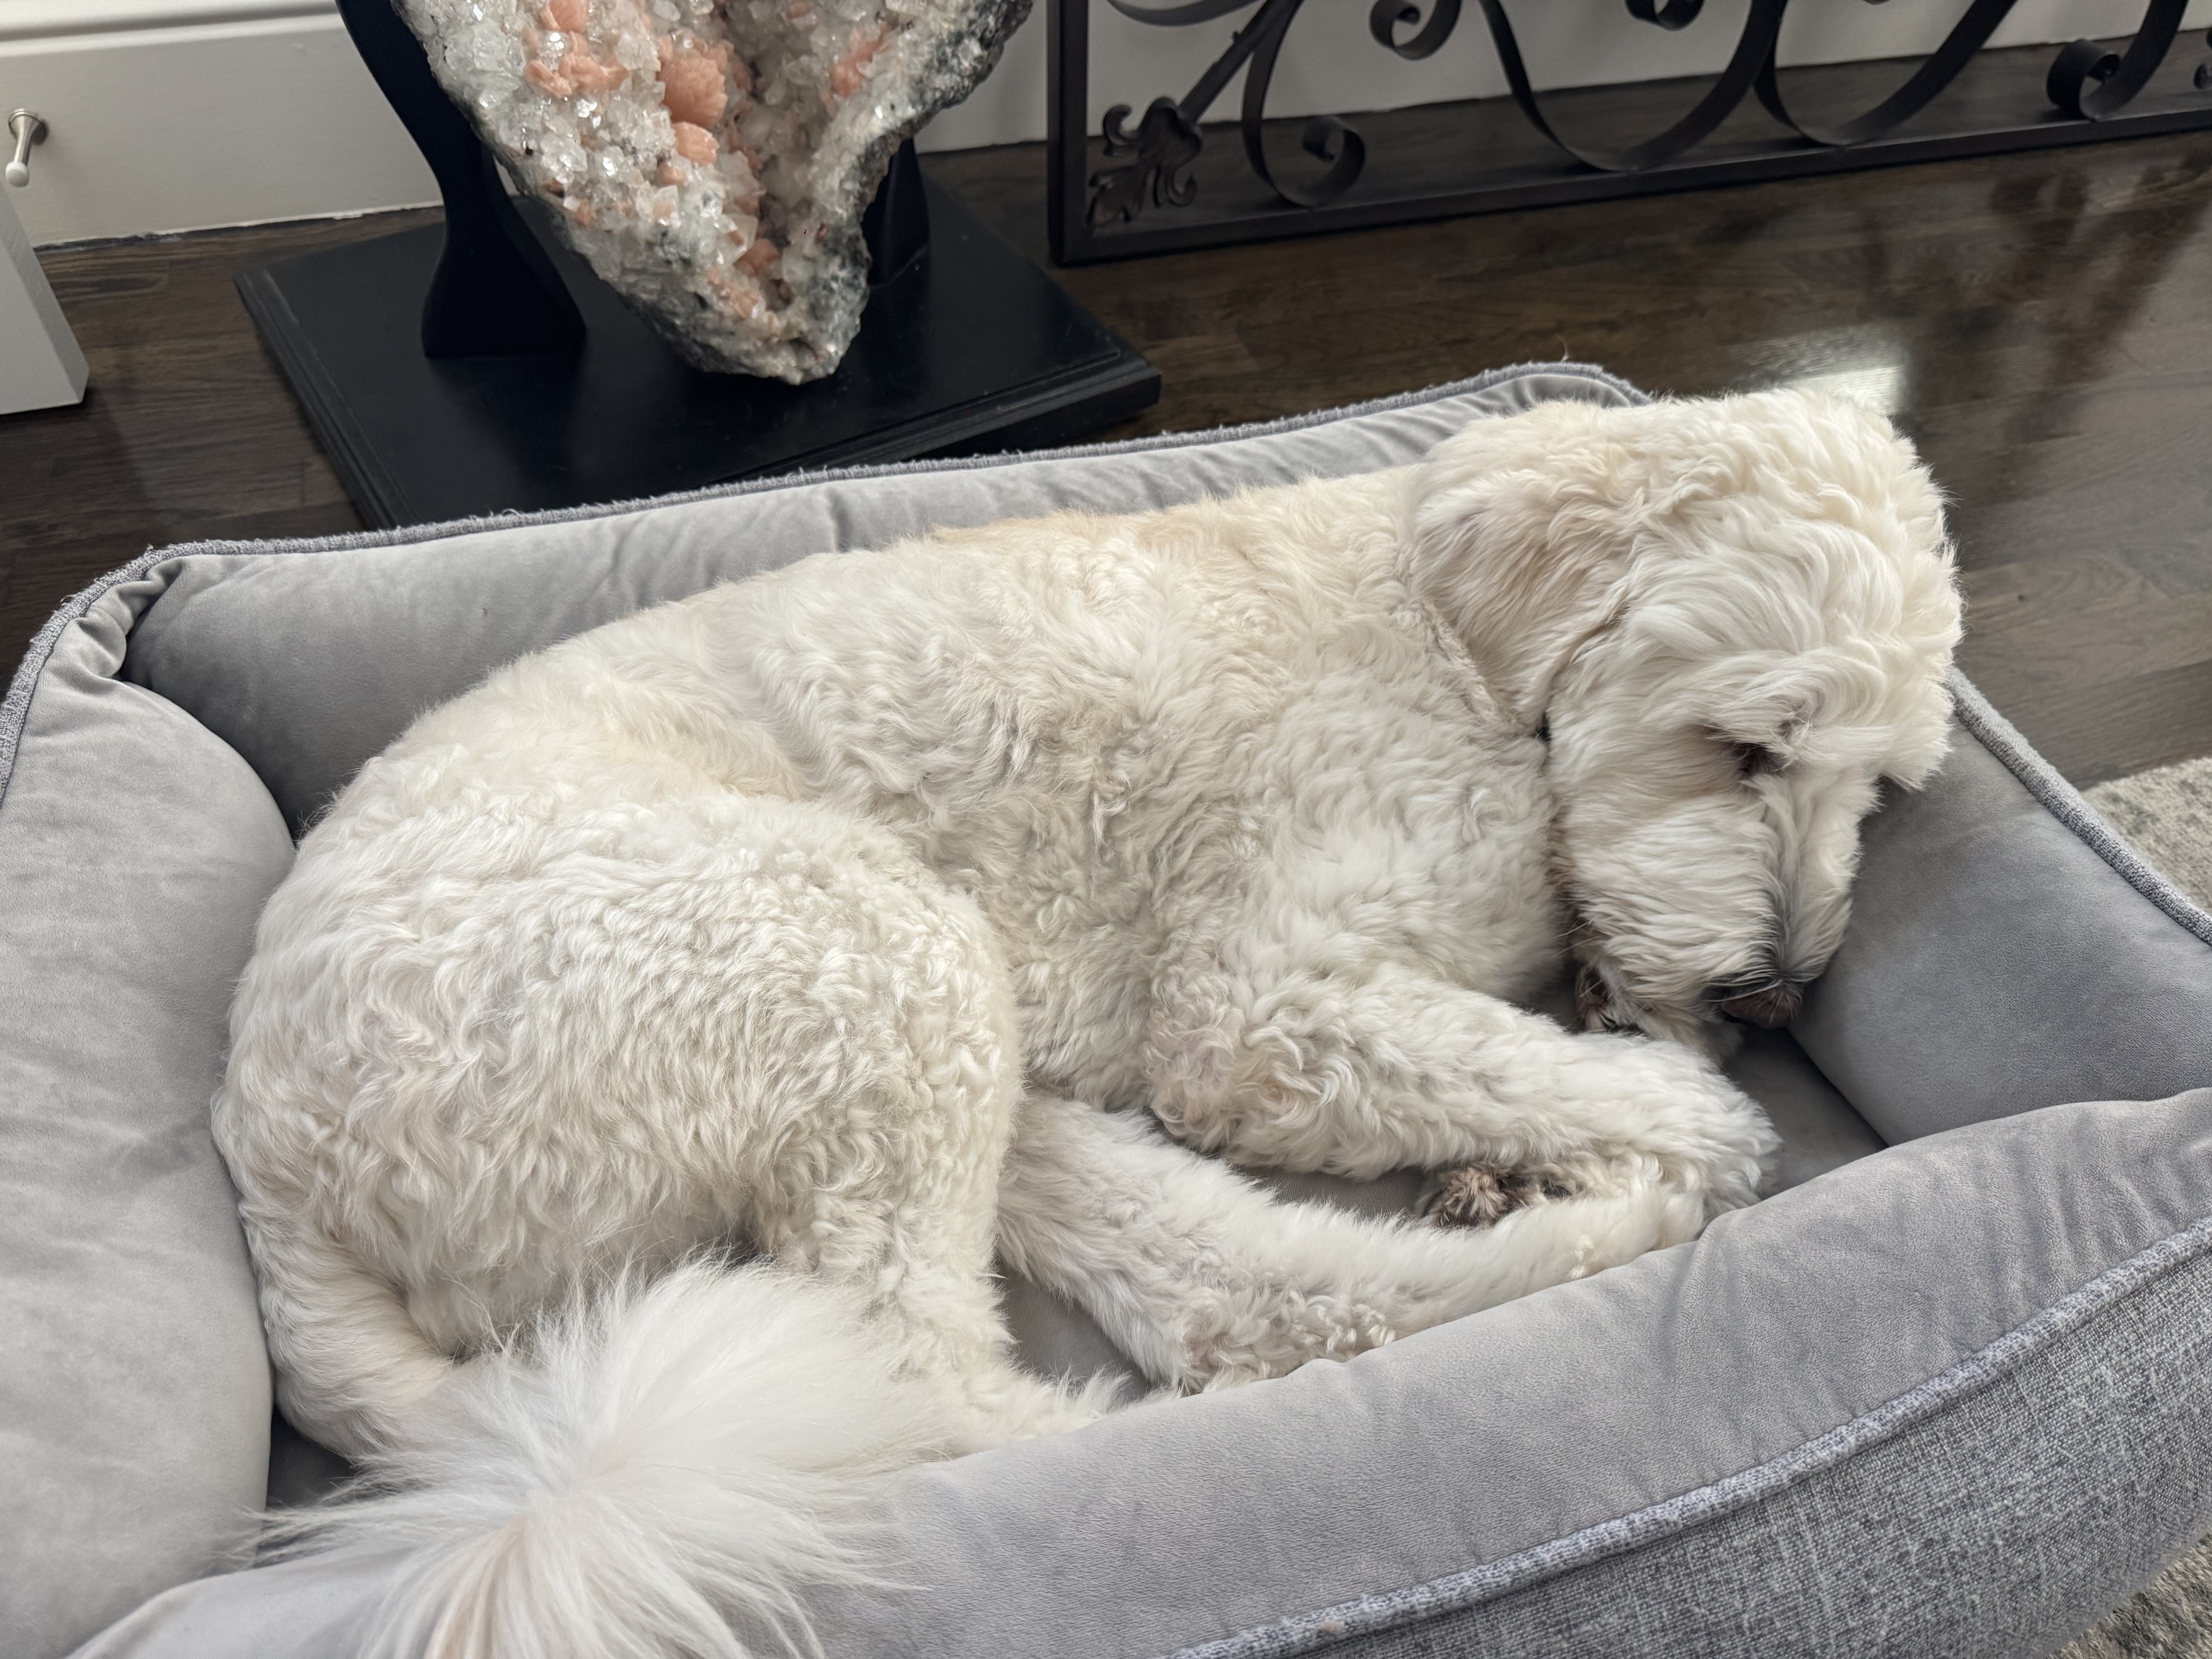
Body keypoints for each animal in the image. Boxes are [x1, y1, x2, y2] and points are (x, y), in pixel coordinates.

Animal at [213, 389, 1962, 1657]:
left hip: (959, 1056)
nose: (1778, 991)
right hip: (859, 958)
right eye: (1744, 745)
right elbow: (1663, 1104)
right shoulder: (1256, 1011)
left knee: (1230, 1302)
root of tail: (266, 1168)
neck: (1468, 653)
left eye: (1881, 787)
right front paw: (1677, 1124)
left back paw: (1527, 1252)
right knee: (930, 1390)